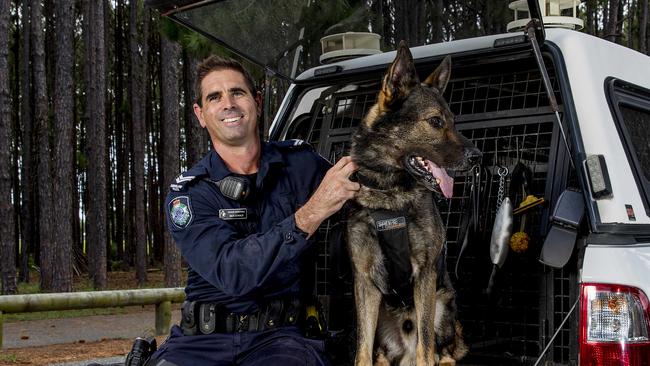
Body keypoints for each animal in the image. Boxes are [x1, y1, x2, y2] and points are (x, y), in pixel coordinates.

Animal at [346, 41, 478, 364]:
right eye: (435, 121)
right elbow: (362, 350)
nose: (477, 157)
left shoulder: (426, 274)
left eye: (454, 122)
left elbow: (425, 347)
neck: (390, 194)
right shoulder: (364, 281)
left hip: (442, 305)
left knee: (443, 351)